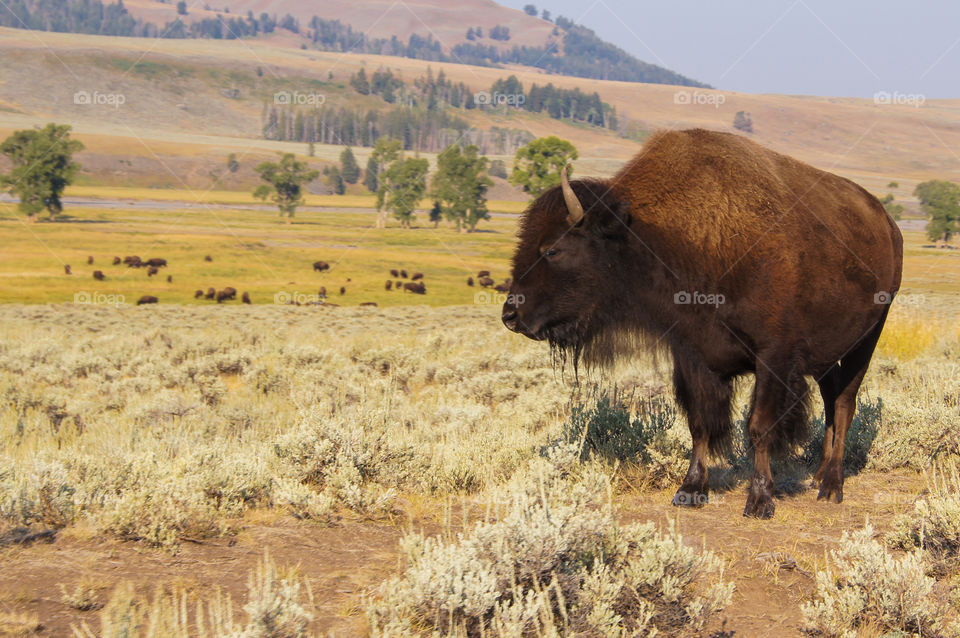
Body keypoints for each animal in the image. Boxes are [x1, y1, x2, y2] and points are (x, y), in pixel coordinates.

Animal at [501, 129, 903, 519]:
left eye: (552, 249)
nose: (510, 315)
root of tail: (887, 224)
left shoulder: (774, 357)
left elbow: (760, 426)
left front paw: (760, 500)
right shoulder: (692, 357)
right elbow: (699, 424)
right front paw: (690, 490)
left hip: (867, 338)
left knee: (845, 404)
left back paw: (831, 486)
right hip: (826, 357)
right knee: (832, 399)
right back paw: (819, 475)